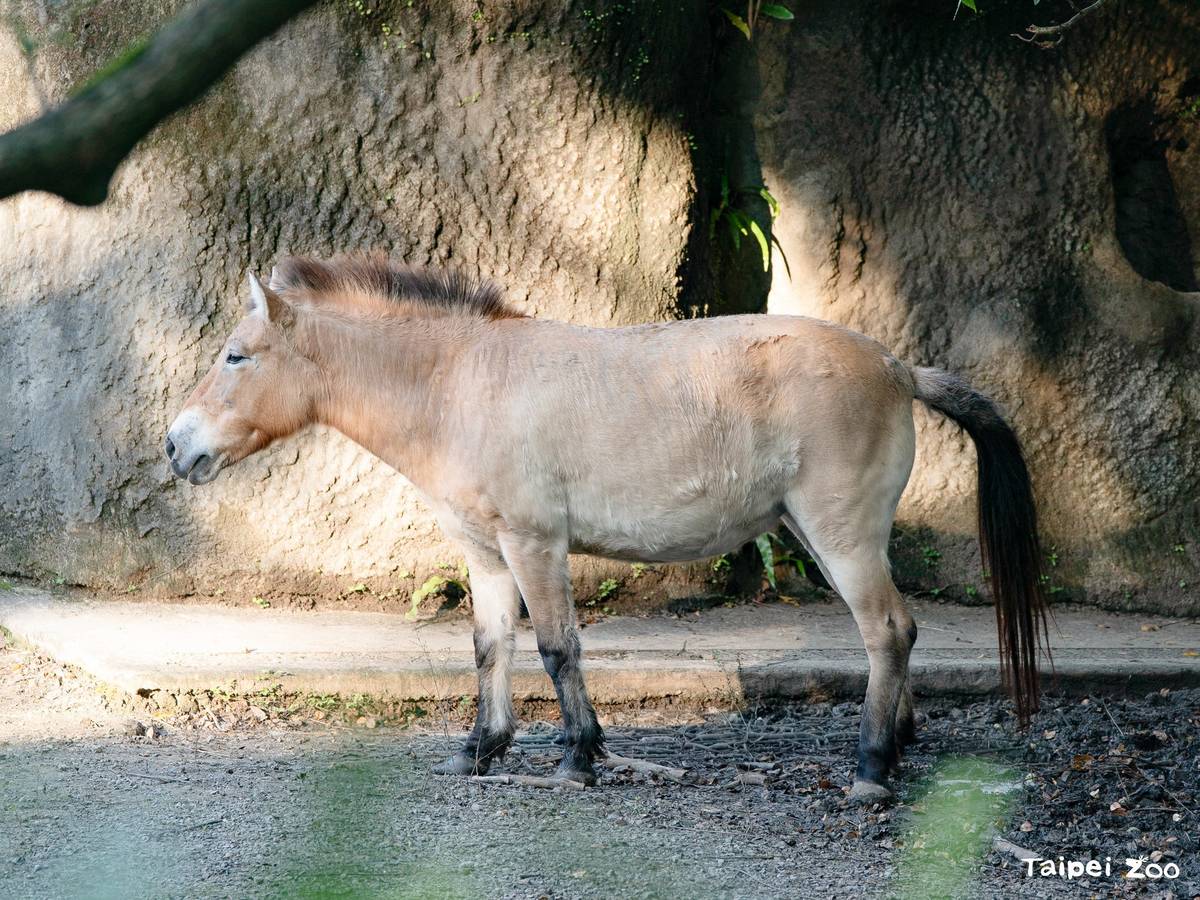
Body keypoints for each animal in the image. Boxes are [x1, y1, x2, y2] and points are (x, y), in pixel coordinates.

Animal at [165, 254, 1049, 801]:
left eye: (237, 356)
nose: (177, 445)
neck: (458, 382)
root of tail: (896, 367)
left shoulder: (533, 545)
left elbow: (558, 650)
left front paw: (578, 760)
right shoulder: (486, 555)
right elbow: (490, 647)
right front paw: (479, 749)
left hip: (841, 537)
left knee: (887, 630)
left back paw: (870, 768)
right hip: (832, 539)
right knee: (895, 634)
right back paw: (899, 745)